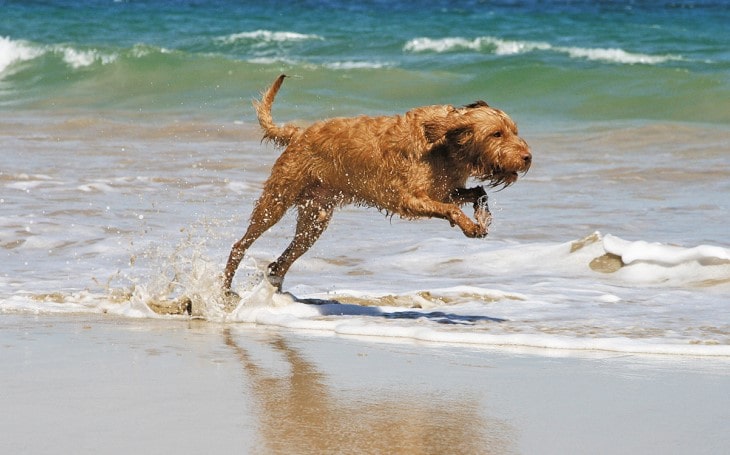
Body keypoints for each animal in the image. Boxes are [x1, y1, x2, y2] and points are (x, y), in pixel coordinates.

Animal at [222, 73, 528, 290]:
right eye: (496, 134)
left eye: (514, 131)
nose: (528, 157)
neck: (444, 143)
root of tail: (298, 133)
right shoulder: (409, 200)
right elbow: (452, 208)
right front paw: (470, 226)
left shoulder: (443, 191)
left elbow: (477, 191)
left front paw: (482, 216)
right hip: (276, 201)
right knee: (240, 245)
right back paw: (226, 290)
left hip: (315, 220)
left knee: (281, 262)